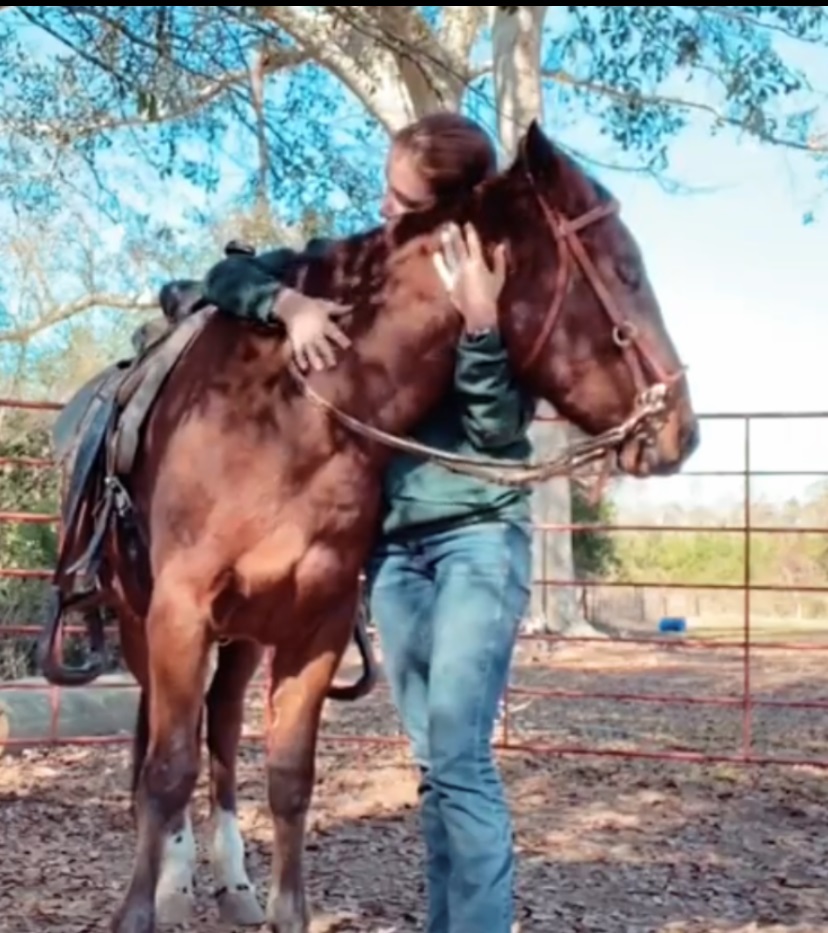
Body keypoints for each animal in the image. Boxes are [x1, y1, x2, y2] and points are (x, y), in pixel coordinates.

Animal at [40, 118, 700, 932]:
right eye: (626, 270)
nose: (681, 429)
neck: (298, 415)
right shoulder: (179, 612)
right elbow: (166, 768)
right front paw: (139, 909)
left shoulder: (316, 625)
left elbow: (288, 775)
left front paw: (286, 911)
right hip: (143, 619)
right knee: (166, 740)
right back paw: (175, 874)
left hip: (243, 636)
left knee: (220, 727)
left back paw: (231, 880)